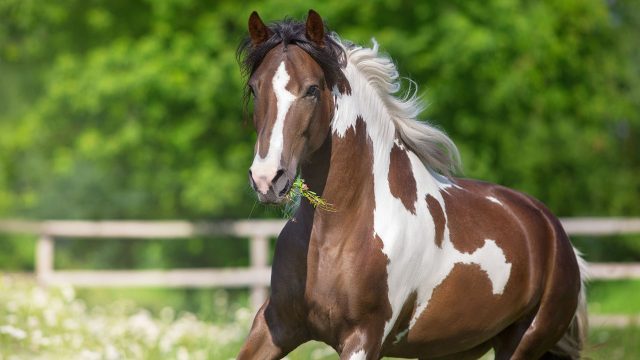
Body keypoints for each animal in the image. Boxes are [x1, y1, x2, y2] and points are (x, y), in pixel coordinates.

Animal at [234, 9, 584, 358]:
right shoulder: (275, 325)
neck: (334, 234)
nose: (267, 179)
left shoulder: (363, 337)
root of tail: (553, 230)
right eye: (255, 88)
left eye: (311, 89)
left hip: (524, 341)